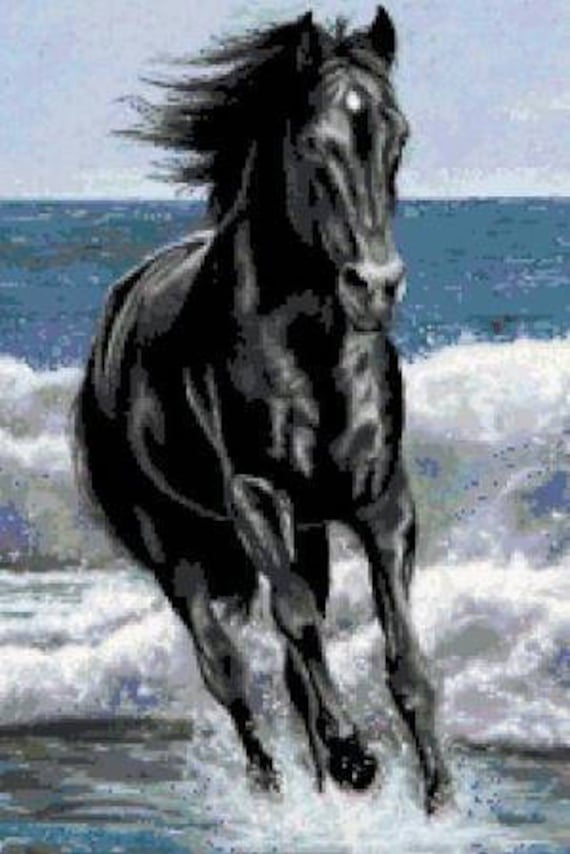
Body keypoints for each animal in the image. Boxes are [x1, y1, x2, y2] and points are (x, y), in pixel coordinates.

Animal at [73, 7, 452, 813]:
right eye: (314, 143)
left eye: (399, 136)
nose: (376, 286)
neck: (311, 356)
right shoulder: (254, 496)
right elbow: (298, 622)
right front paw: (357, 758)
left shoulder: (382, 504)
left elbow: (403, 657)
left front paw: (439, 793)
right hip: (172, 550)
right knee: (227, 666)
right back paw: (275, 787)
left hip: (308, 537)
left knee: (286, 667)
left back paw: (324, 786)